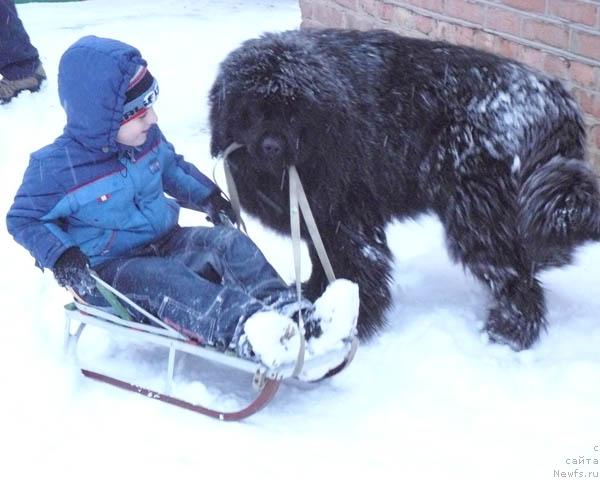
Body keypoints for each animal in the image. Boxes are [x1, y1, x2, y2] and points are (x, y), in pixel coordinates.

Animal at [207, 30, 600, 350]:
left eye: (293, 112)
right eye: (251, 111)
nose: (272, 146)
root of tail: (560, 102)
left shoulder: (351, 219)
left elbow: (355, 268)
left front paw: (354, 321)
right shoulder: (318, 216)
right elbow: (323, 262)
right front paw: (317, 295)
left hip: (477, 214)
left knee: (516, 276)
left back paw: (509, 334)